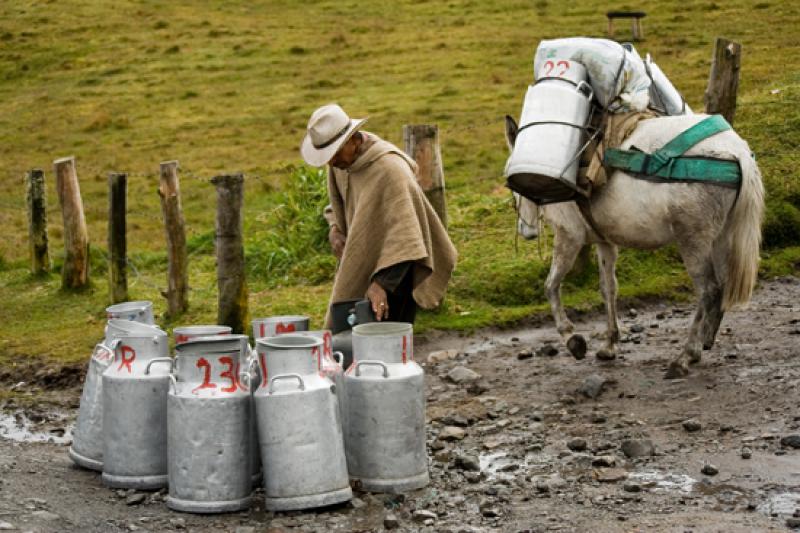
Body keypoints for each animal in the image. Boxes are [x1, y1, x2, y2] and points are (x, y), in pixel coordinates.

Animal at [506, 114, 764, 376]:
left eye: (514, 189)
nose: (526, 231)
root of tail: (735, 151)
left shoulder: (569, 236)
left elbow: (551, 285)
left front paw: (572, 339)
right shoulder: (604, 242)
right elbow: (608, 288)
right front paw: (609, 345)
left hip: (693, 241)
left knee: (708, 290)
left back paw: (686, 355)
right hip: (722, 235)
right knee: (722, 284)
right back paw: (706, 340)